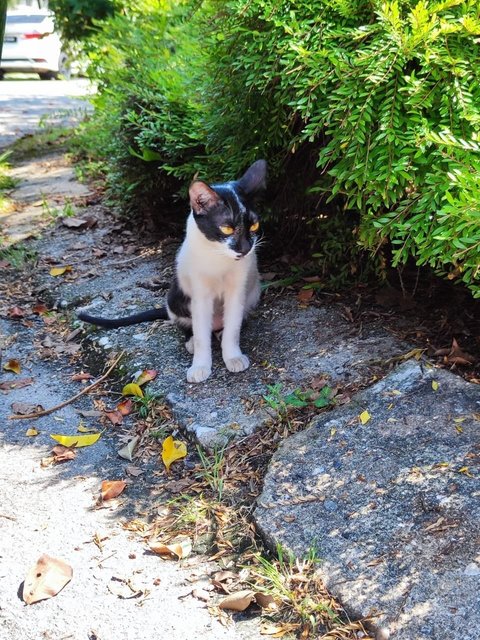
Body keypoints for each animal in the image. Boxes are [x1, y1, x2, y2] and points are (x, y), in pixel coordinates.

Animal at [78, 160, 266, 382]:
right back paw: (191, 341)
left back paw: (221, 333)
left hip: (253, 293)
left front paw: (233, 356)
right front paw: (200, 366)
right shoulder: (199, 295)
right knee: (189, 325)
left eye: (254, 225)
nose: (245, 249)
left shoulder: (237, 291)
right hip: (175, 296)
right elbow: (201, 335)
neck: (218, 257)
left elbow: (233, 328)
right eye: (227, 229)